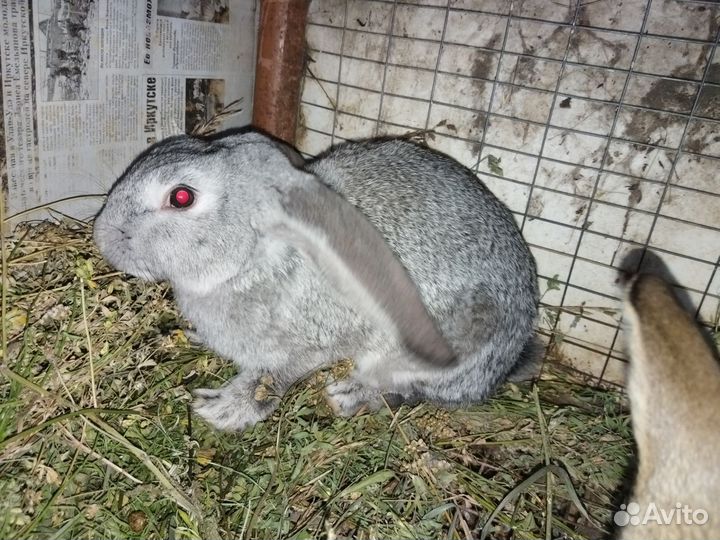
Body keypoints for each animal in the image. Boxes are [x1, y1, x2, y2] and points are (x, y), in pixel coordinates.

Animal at [93, 129, 539, 432]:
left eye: (181, 197)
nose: (101, 235)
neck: (258, 254)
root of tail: (507, 361)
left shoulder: (306, 348)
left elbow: (269, 381)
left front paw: (218, 410)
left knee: (408, 389)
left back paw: (347, 396)